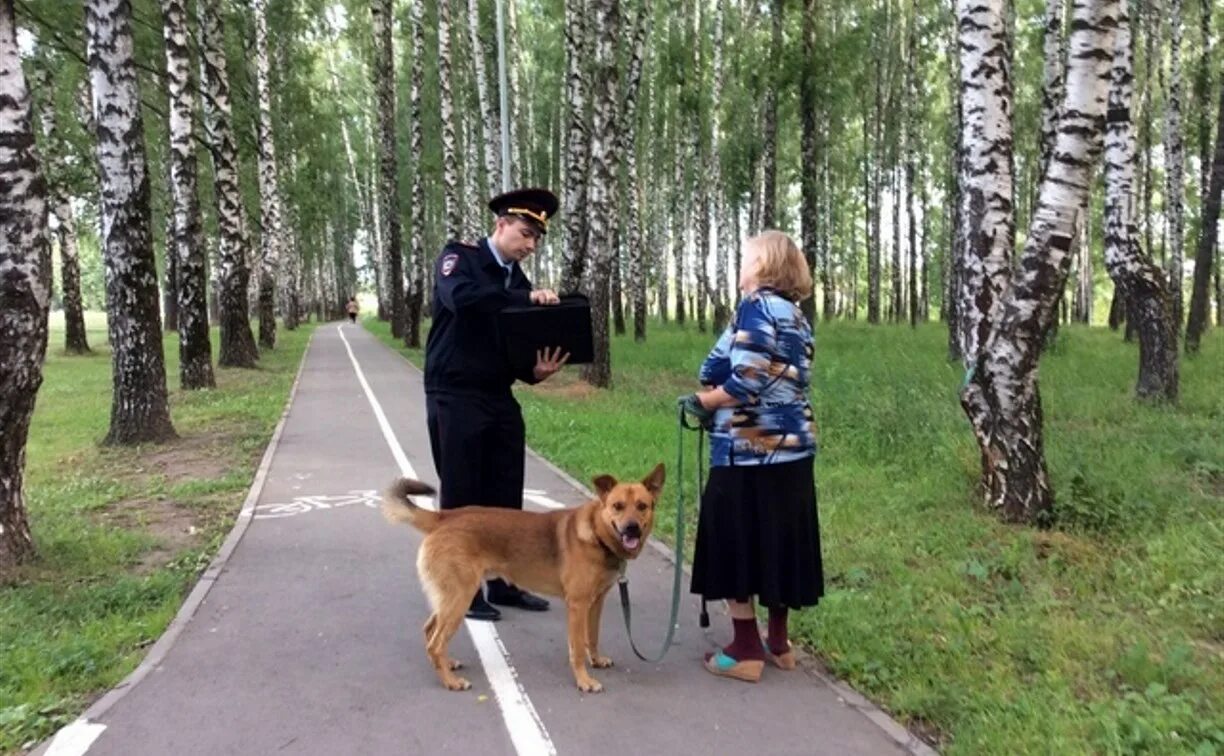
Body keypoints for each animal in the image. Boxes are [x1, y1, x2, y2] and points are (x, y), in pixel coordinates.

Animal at [384, 459, 665, 689]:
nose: (632, 529)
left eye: (642, 506)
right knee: (435, 643)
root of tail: (443, 517)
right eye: (618, 506)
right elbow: (577, 648)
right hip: (459, 599)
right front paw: (584, 680)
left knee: (430, 632)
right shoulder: (577, 605)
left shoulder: (595, 603)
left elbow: (592, 638)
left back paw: (447, 664)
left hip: (449, 599)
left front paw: (595, 661)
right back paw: (451, 682)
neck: (597, 534)